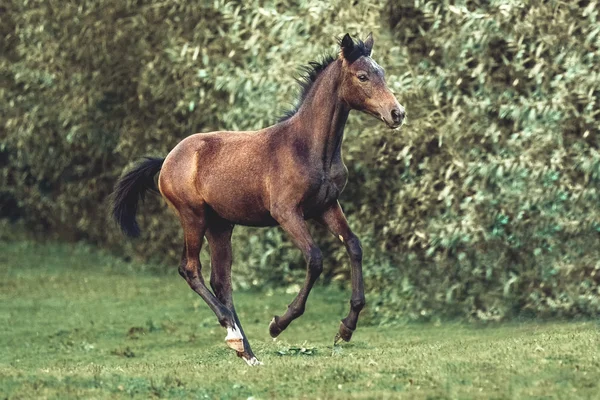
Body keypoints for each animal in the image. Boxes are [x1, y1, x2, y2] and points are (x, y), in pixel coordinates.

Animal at [112, 33, 404, 366]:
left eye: (382, 72)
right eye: (362, 76)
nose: (397, 113)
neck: (308, 147)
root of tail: (166, 160)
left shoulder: (327, 206)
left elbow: (354, 246)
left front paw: (346, 328)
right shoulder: (287, 213)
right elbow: (315, 258)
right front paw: (278, 323)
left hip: (220, 225)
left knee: (221, 281)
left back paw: (246, 351)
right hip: (193, 216)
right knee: (190, 269)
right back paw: (232, 331)